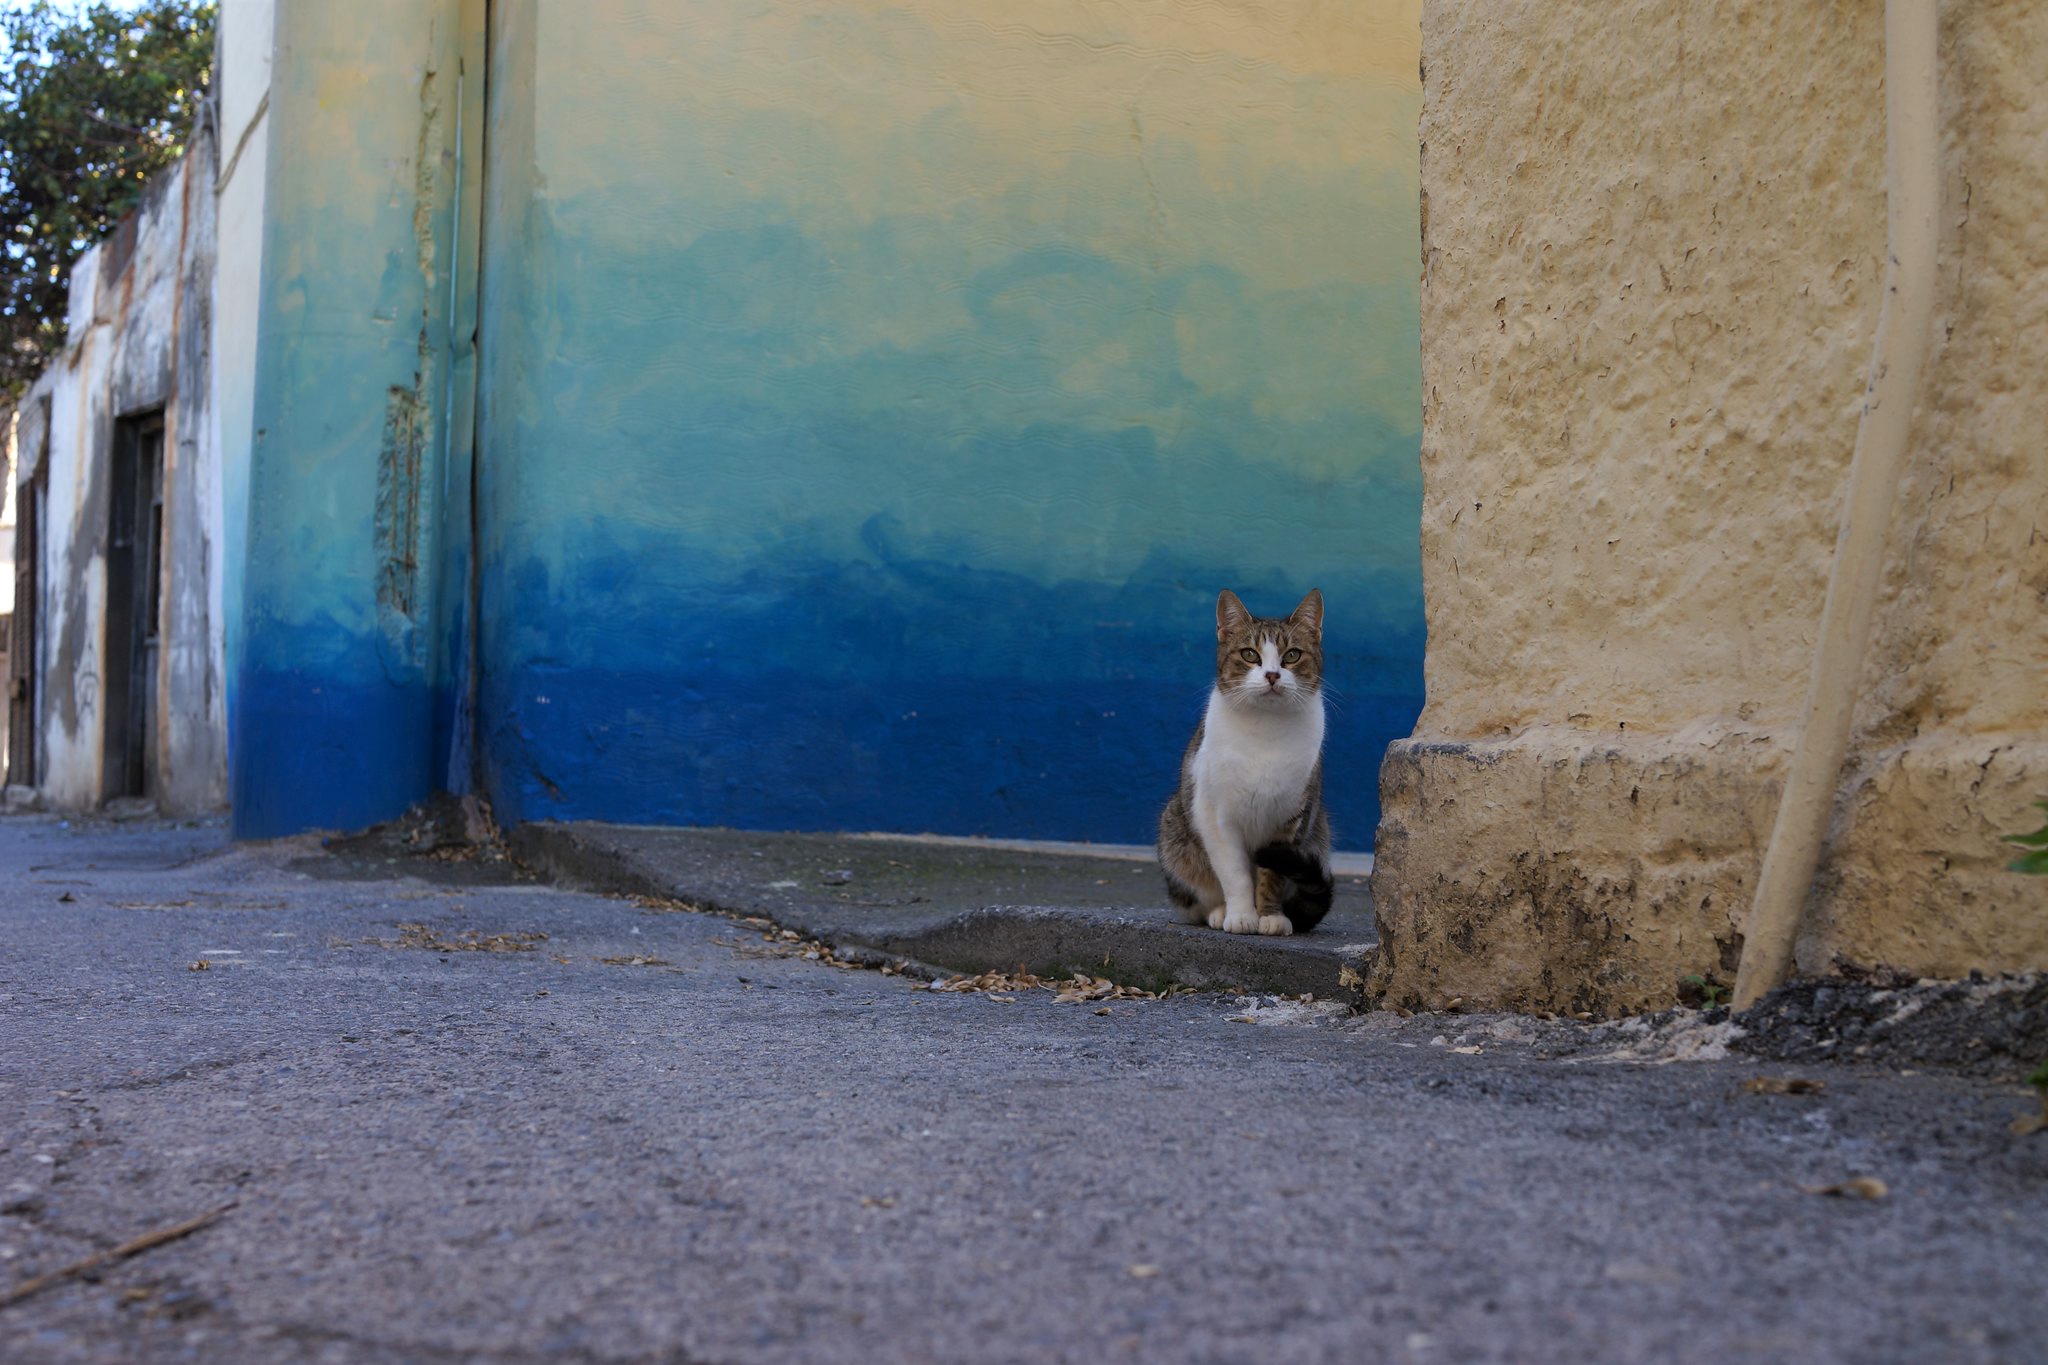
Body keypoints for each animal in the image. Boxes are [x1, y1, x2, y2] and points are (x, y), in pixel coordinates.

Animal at [1163, 593, 1335, 933]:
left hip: (1318, 832)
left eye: (1292, 655)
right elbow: (1235, 875)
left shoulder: (1290, 819)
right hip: (1174, 829)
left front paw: (1270, 916)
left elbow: (1274, 876)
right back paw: (1218, 912)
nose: (1272, 675)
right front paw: (1242, 915)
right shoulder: (1216, 816)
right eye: (1249, 654)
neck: (1265, 728)